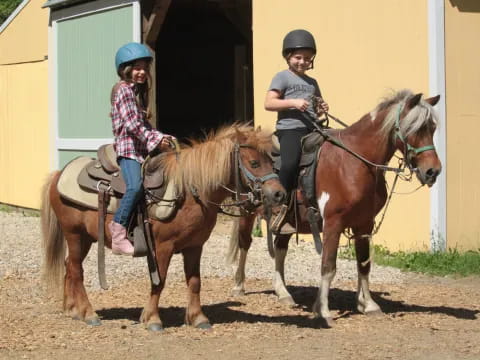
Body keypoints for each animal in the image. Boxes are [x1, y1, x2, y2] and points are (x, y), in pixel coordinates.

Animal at [41, 124, 284, 332]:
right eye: (254, 163)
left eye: (271, 161)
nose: (278, 194)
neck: (190, 192)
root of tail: (59, 174)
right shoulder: (162, 247)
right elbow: (160, 281)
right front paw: (152, 319)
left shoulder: (195, 246)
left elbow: (194, 281)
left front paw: (198, 318)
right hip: (74, 234)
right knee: (75, 269)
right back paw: (88, 313)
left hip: (85, 238)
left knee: (70, 267)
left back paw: (73, 309)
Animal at [228, 90, 442, 326]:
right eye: (414, 128)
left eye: (433, 128)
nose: (433, 171)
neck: (353, 163)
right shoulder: (333, 223)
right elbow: (328, 266)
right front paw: (323, 310)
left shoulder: (364, 224)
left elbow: (363, 264)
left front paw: (368, 304)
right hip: (247, 211)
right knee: (244, 243)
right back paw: (238, 285)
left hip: (288, 222)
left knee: (280, 248)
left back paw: (283, 293)